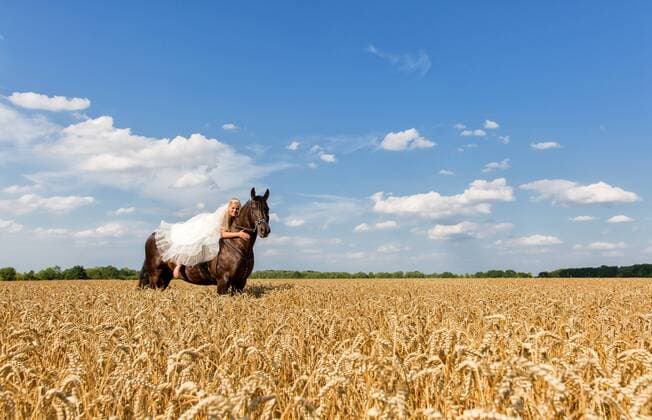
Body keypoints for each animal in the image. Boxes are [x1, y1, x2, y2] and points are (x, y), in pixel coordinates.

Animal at [138, 187, 271, 294]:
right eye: (253, 208)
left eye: (267, 208)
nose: (265, 230)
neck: (237, 245)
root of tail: (153, 236)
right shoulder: (223, 281)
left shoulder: (240, 282)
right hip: (155, 275)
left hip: (165, 277)